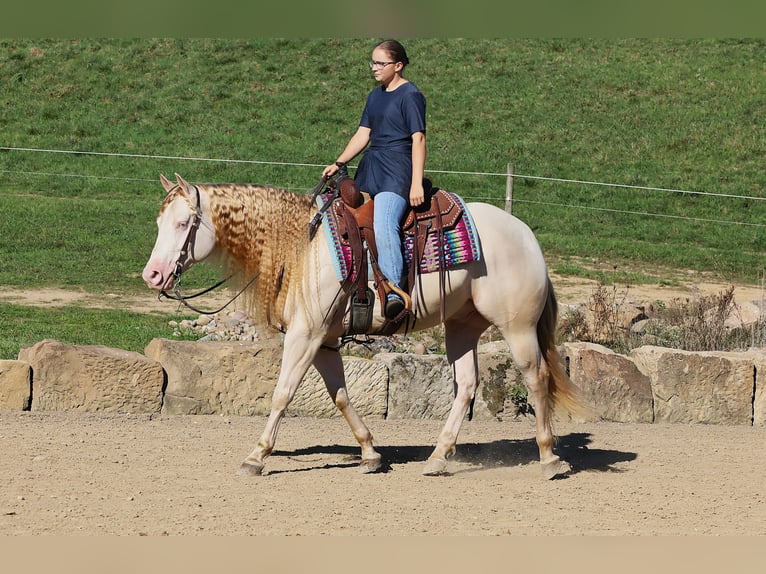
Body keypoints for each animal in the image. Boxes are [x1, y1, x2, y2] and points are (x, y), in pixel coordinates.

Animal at [141, 173, 592, 480]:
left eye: (184, 224)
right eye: (159, 223)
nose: (153, 275)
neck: (303, 247)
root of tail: (526, 235)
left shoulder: (306, 336)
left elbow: (282, 393)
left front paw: (256, 456)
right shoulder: (324, 340)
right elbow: (340, 395)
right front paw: (370, 452)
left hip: (517, 327)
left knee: (536, 378)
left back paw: (550, 458)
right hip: (462, 325)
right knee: (466, 384)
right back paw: (438, 456)